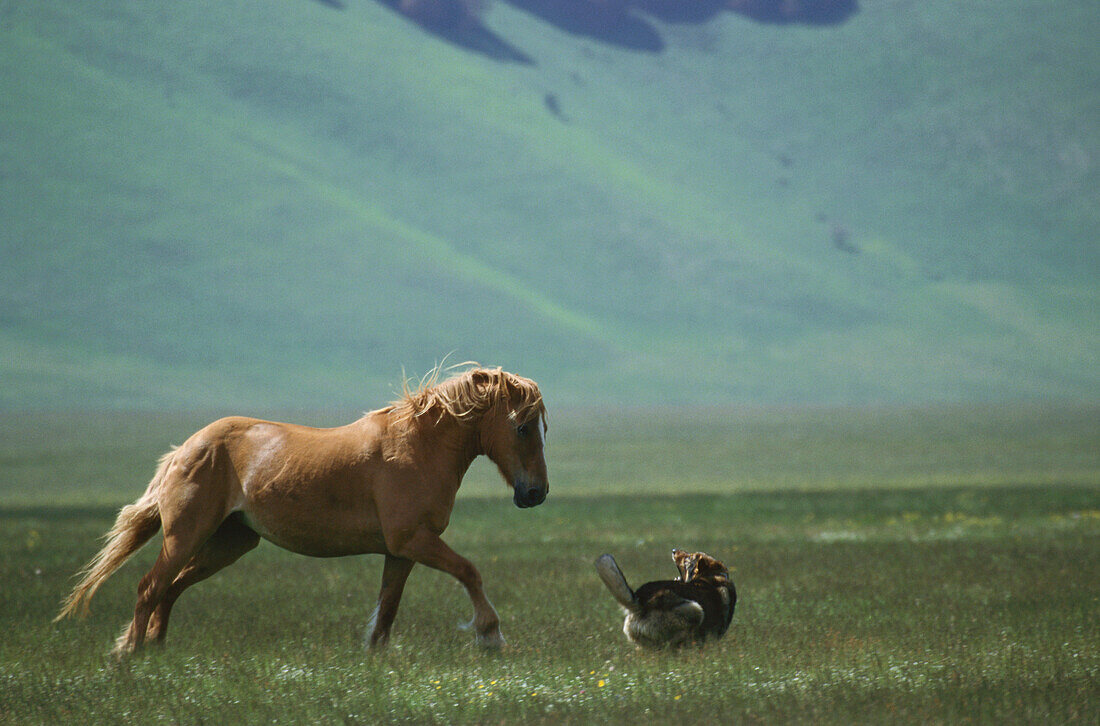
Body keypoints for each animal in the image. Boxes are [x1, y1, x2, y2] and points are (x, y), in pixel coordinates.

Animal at [53, 365, 547, 655]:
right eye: (522, 427)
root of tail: (186, 448)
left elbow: (387, 609)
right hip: (186, 535)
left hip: (230, 542)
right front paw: (490, 635)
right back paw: (130, 656)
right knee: (150, 587)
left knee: (170, 590)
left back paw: (154, 650)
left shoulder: (401, 551)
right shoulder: (415, 540)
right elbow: (469, 572)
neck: (418, 447)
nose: (536, 493)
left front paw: (375, 661)